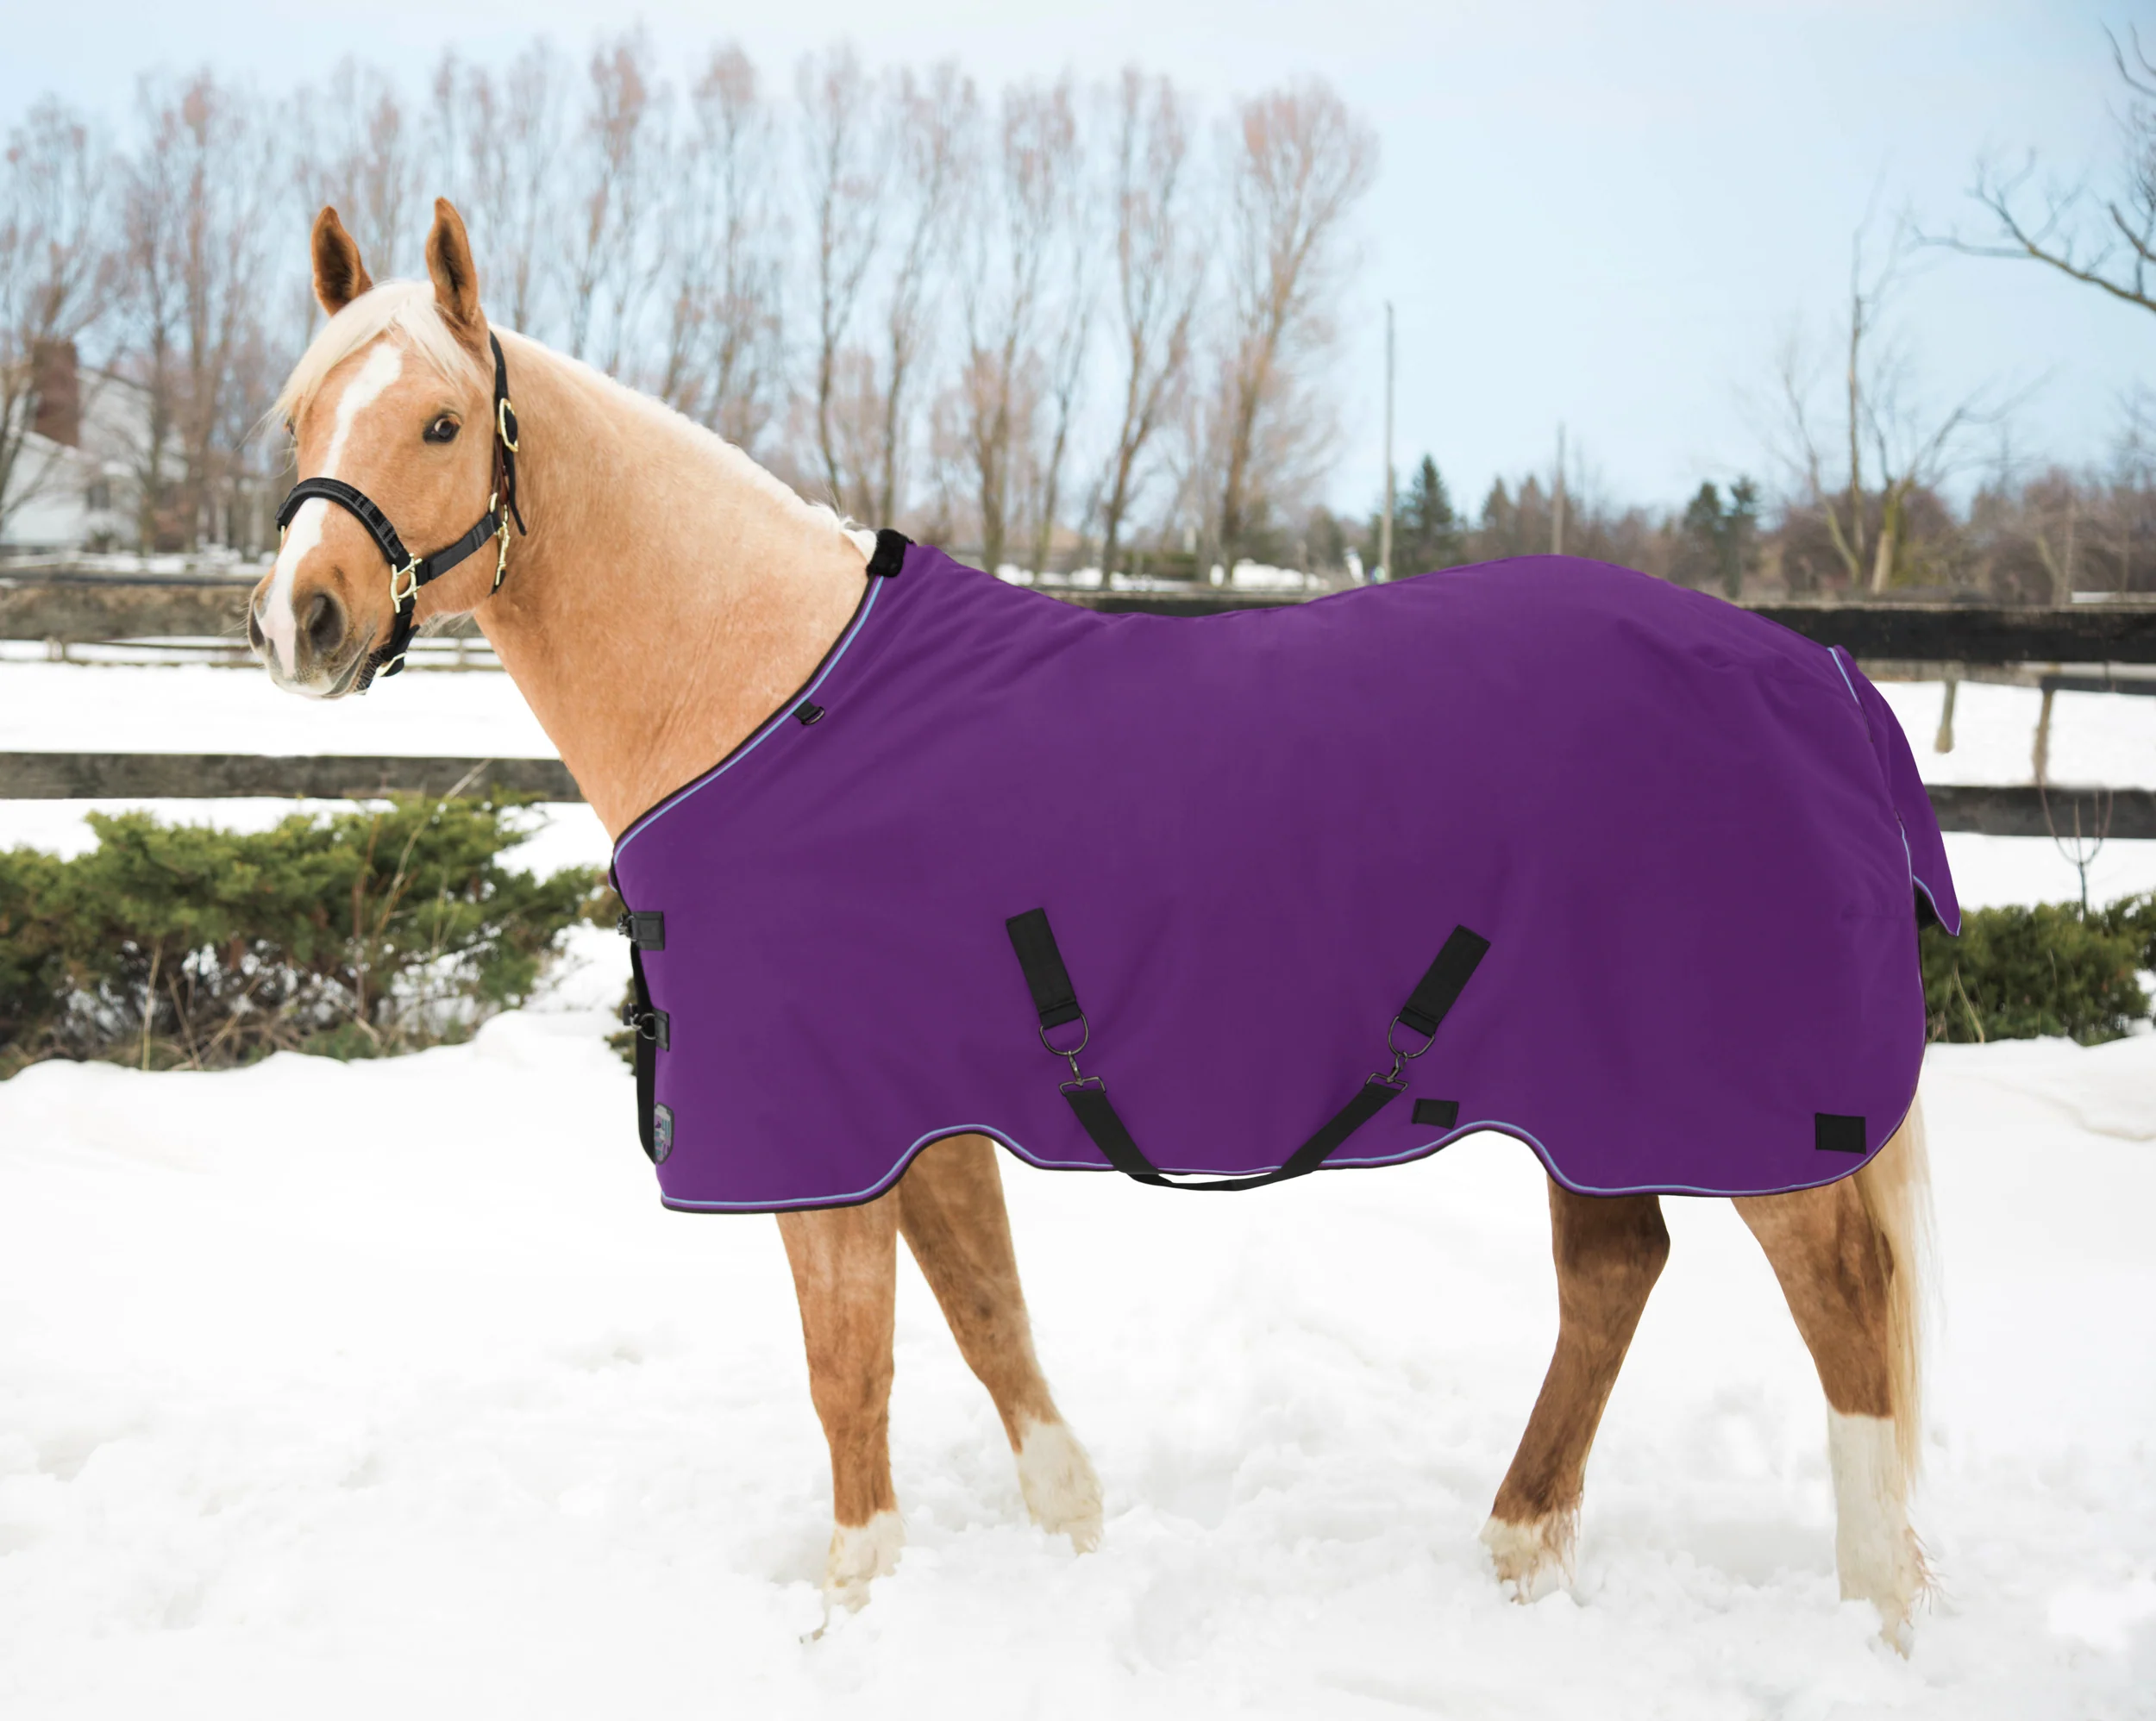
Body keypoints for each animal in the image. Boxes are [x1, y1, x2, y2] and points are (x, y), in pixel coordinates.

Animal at [248, 197, 1935, 1643]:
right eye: (298, 417)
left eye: (442, 422)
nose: (298, 620)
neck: (769, 697)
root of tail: (1824, 680)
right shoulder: (916, 1112)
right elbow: (986, 1314)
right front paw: (1070, 1533)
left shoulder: (822, 1132)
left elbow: (849, 1367)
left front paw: (851, 1609)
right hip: (1592, 1094)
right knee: (1616, 1272)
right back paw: (1520, 1553)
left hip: (1737, 1102)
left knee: (1843, 1307)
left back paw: (1879, 1615)